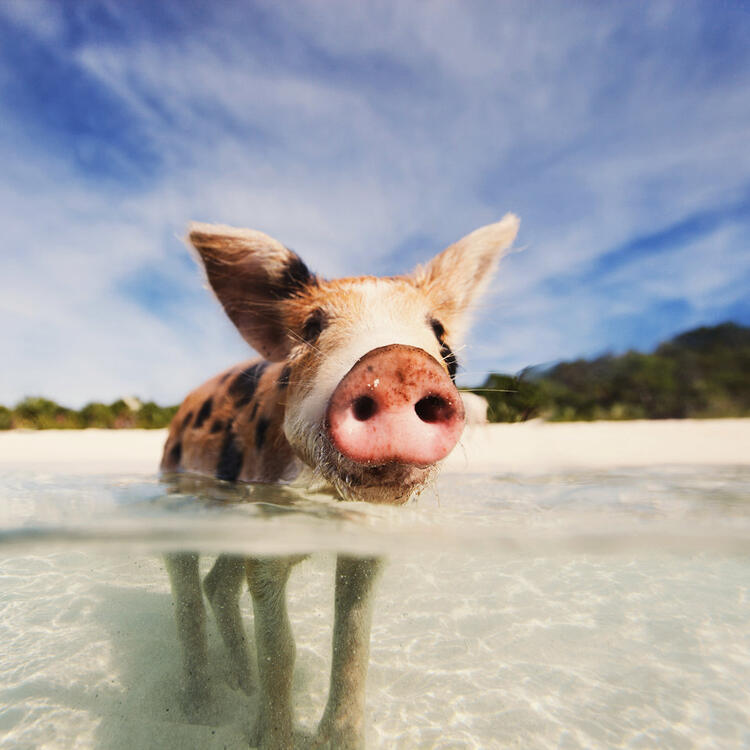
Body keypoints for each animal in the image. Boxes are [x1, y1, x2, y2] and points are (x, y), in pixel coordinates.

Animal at [161, 214, 519, 748]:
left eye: (442, 340)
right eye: (312, 327)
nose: (398, 363)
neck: (330, 500)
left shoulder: (367, 543)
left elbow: (352, 643)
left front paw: (337, 739)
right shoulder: (266, 534)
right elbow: (282, 650)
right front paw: (271, 740)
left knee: (218, 585)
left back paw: (240, 683)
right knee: (188, 594)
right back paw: (200, 711)